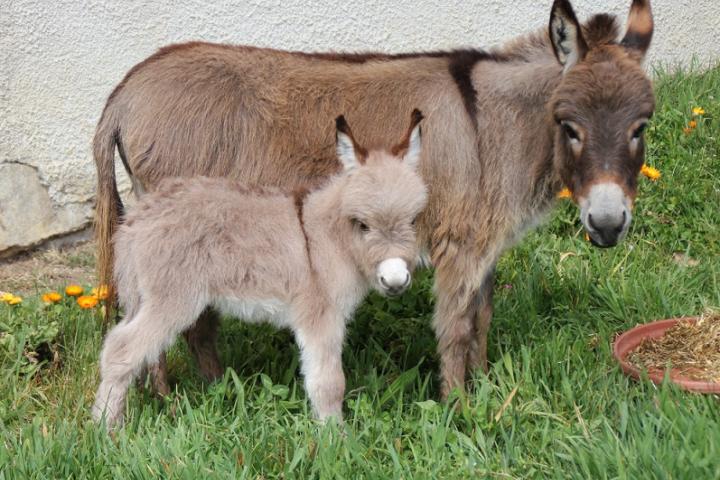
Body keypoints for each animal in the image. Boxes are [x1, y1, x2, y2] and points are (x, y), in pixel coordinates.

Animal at [91, 110, 428, 426]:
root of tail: (136, 221)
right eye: (362, 224)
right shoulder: (321, 316)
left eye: (413, 220)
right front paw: (336, 436)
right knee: (121, 350)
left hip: (143, 297)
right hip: (173, 299)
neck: (330, 237)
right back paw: (107, 429)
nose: (395, 280)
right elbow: (329, 383)